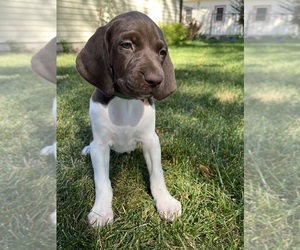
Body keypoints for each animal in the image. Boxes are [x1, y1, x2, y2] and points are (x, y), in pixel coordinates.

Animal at [76, 11, 182, 227]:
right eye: (126, 45)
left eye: (162, 52)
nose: (156, 80)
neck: (125, 101)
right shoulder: (100, 146)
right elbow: (103, 182)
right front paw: (101, 211)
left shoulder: (151, 140)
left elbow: (157, 175)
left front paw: (165, 202)